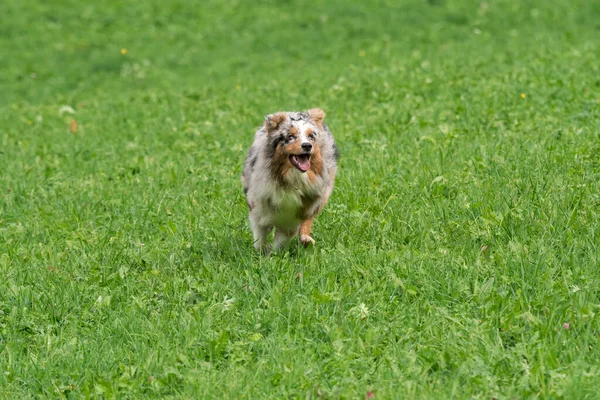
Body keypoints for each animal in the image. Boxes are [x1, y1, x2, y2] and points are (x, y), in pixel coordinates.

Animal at [243, 109, 338, 253]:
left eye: (311, 136)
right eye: (291, 137)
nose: (307, 145)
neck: (291, 178)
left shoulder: (294, 214)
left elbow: (282, 238)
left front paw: (275, 254)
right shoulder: (258, 205)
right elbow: (260, 234)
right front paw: (262, 251)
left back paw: (306, 239)